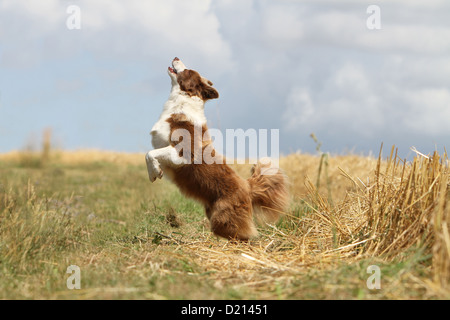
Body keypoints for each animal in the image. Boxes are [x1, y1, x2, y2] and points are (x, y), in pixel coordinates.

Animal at [146, 57, 290, 240]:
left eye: (188, 71)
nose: (176, 57)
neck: (180, 103)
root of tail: (248, 186)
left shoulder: (183, 154)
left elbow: (150, 153)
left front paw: (154, 172)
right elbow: (150, 154)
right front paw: (154, 171)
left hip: (223, 219)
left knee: (243, 236)